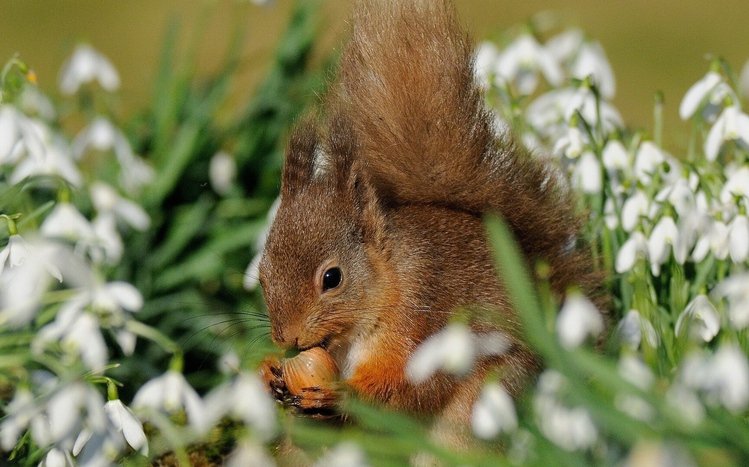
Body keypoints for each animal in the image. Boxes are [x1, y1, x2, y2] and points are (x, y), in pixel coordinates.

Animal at [258, 0, 602, 448]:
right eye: (261, 277)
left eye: (332, 278)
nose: (287, 339)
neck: (389, 276)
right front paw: (268, 373)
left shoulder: (421, 311)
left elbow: (403, 384)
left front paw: (341, 394)